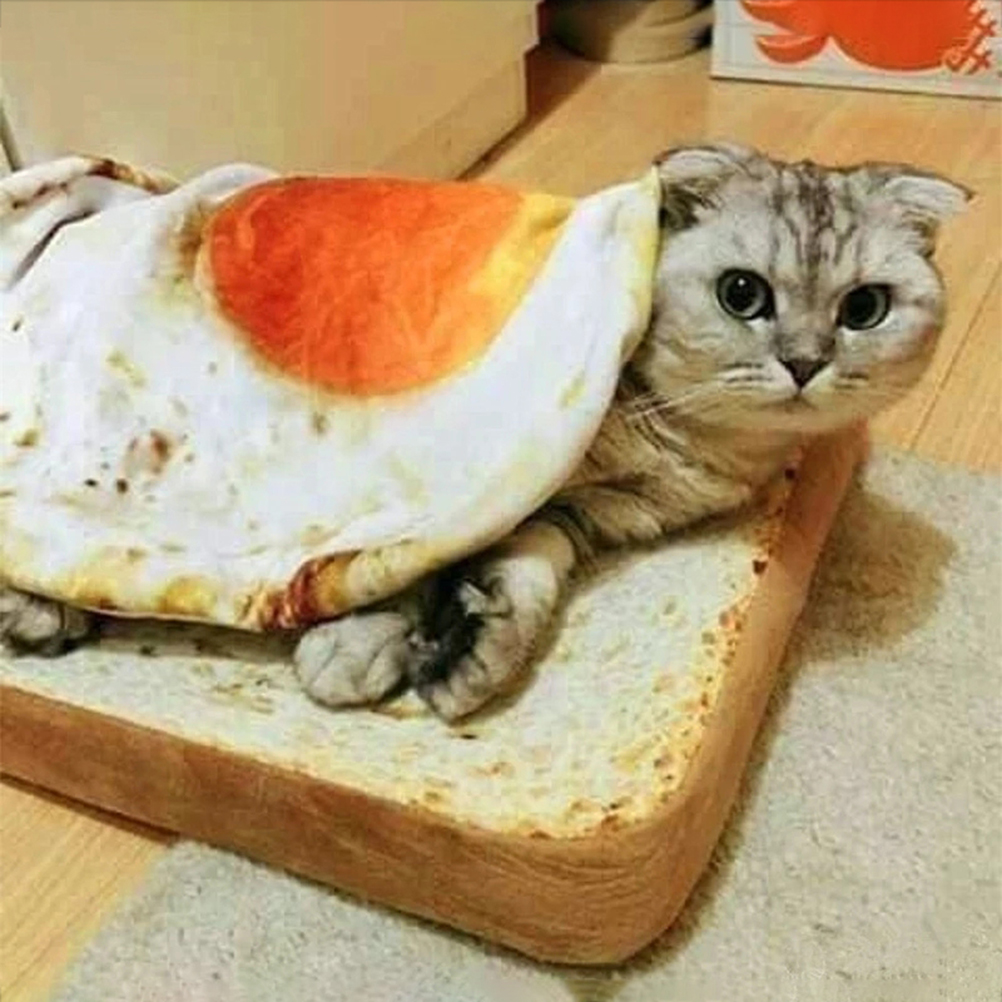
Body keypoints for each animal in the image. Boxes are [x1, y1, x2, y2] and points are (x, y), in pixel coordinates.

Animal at [0, 144, 970, 721]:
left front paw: (470, 648)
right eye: (743, 295)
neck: (690, 446)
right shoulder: (463, 487)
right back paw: (40, 613)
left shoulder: (571, 515)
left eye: (865, 309)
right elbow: (383, 575)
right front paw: (360, 647)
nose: (806, 363)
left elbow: (516, 577)